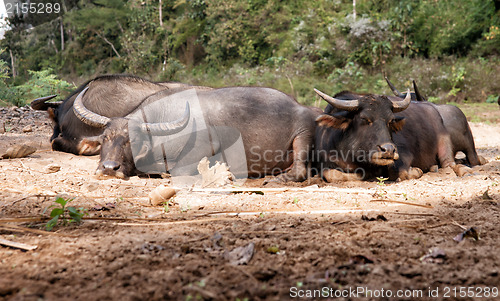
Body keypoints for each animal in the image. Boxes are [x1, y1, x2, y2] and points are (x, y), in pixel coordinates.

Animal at [72, 85, 318, 182]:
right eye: (105, 138)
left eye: (131, 141)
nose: (109, 168)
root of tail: (302, 107)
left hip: (303, 133)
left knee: (299, 171)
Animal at [314, 88, 458, 179]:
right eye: (364, 118)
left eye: (391, 120)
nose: (388, 150)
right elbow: (331, 174)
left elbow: (399, 172)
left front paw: (416, 171)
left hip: (444, 142)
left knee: (449, 164)